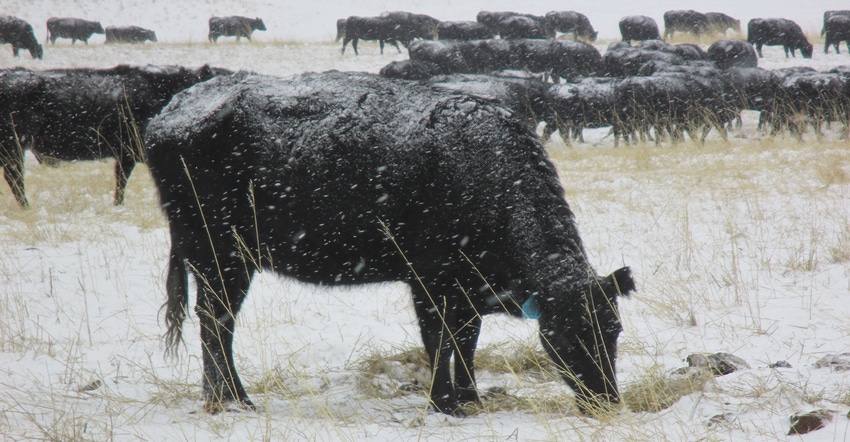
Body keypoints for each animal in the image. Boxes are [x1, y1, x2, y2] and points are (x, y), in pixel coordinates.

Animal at [146, 69, 632, 418]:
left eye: (613, 329)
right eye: (565, 336)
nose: (607, 400)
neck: (481, 168)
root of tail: (171, 110)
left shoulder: (469, 289)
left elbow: (467, 342)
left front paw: (470, 398)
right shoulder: (429, 279)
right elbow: (439, 340)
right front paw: (444, 404)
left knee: (219, 322)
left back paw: (225, 397)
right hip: (219, 255)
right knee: (216, 322)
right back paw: (230, 400)